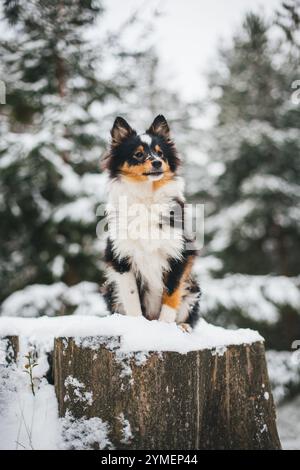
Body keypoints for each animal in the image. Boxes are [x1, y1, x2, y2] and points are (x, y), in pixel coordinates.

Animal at [101, 114, 202, 330]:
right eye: (138, 154)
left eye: (160, 153)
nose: (157, 162)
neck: (147, 196)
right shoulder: (120, 258)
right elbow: (132, 297)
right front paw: (138, 325)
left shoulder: (180, 254)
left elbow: (172, 295)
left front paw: (164, 326)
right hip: (109, 289)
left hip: (193, 289)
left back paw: (183, 327)